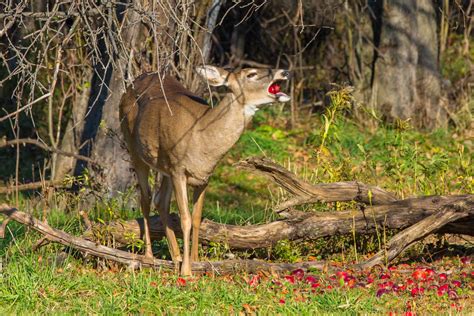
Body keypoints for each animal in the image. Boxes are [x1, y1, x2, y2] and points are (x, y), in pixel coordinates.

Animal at [119, 65, 288, 276]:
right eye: (251, 74)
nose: (284, 72)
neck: (202, 138)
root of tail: (130, 86)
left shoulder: (204, 177)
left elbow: (197, 218)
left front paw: (195, 261)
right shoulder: (179, 170)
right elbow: (185, 219)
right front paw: (186, 271)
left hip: (165, 166)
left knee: (161, 200)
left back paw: (175, 256)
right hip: (134, 147)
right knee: (146, 197)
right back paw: (149, 256)